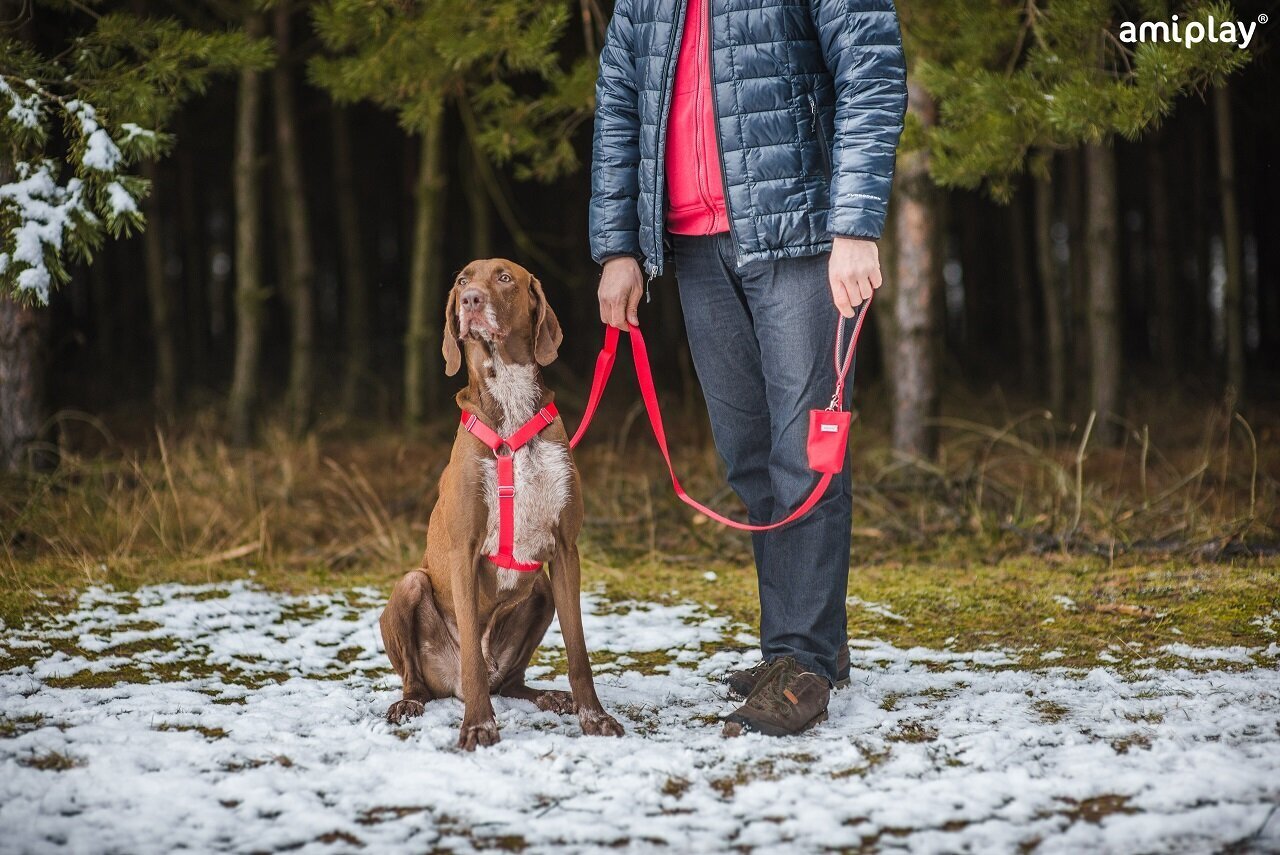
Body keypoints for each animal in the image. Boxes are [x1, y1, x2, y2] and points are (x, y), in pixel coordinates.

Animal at [373, 255, 624, 747]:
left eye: (505, 278)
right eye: (461, 281)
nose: (470, 301)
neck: (509, 400)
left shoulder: (565, 550)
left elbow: (579, 651)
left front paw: (594, 716)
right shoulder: (463, 552)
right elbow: (471, 650)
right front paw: (478, 725)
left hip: (540, 591)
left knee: (510, 681)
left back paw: (546, 696)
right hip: (411, 586)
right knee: (424, 678)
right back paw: (410, 703)